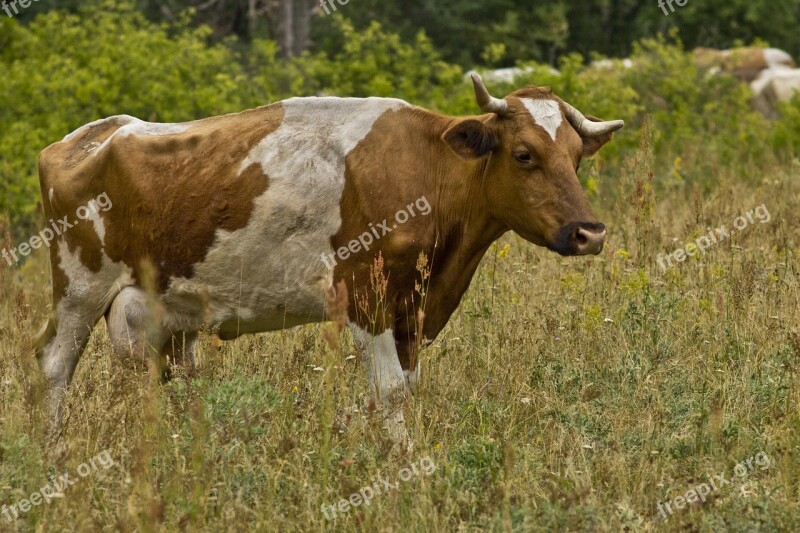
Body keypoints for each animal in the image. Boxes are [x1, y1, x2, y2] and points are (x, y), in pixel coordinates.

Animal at [36, 74, 624, 444]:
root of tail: (96, 131)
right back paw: (53, 452)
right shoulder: (366, 297)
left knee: (175, 377)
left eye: (576, 156)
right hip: (79, 288)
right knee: (54, 364)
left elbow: (405, 388)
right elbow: (390, 391)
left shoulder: (414, 310)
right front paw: (401, 466)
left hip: (170, 310)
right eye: (524, 154)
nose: (589, 233)